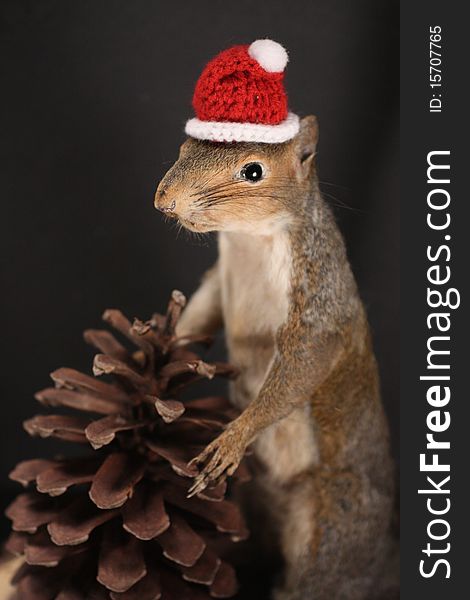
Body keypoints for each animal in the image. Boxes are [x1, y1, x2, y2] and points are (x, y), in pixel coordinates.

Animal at [155, 115, 396, 596]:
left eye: (253, 171)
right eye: (185, 148)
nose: (165, 200)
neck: (248, 242)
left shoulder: (318, 306)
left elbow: (301, 371)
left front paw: (234, 436)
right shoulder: (219, 279)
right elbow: (200, 312)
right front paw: (166, 343)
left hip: (333, 532)